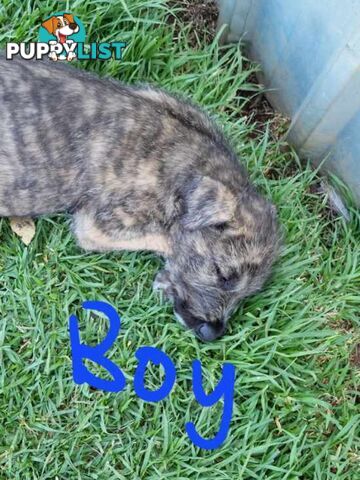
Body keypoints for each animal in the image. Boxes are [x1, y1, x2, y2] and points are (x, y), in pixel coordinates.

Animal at [0, 55, 282, 342]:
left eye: (250, 291)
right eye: (221, 274)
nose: (212, 333)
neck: (191, 169)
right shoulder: (99, 225)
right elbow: (161, 238)